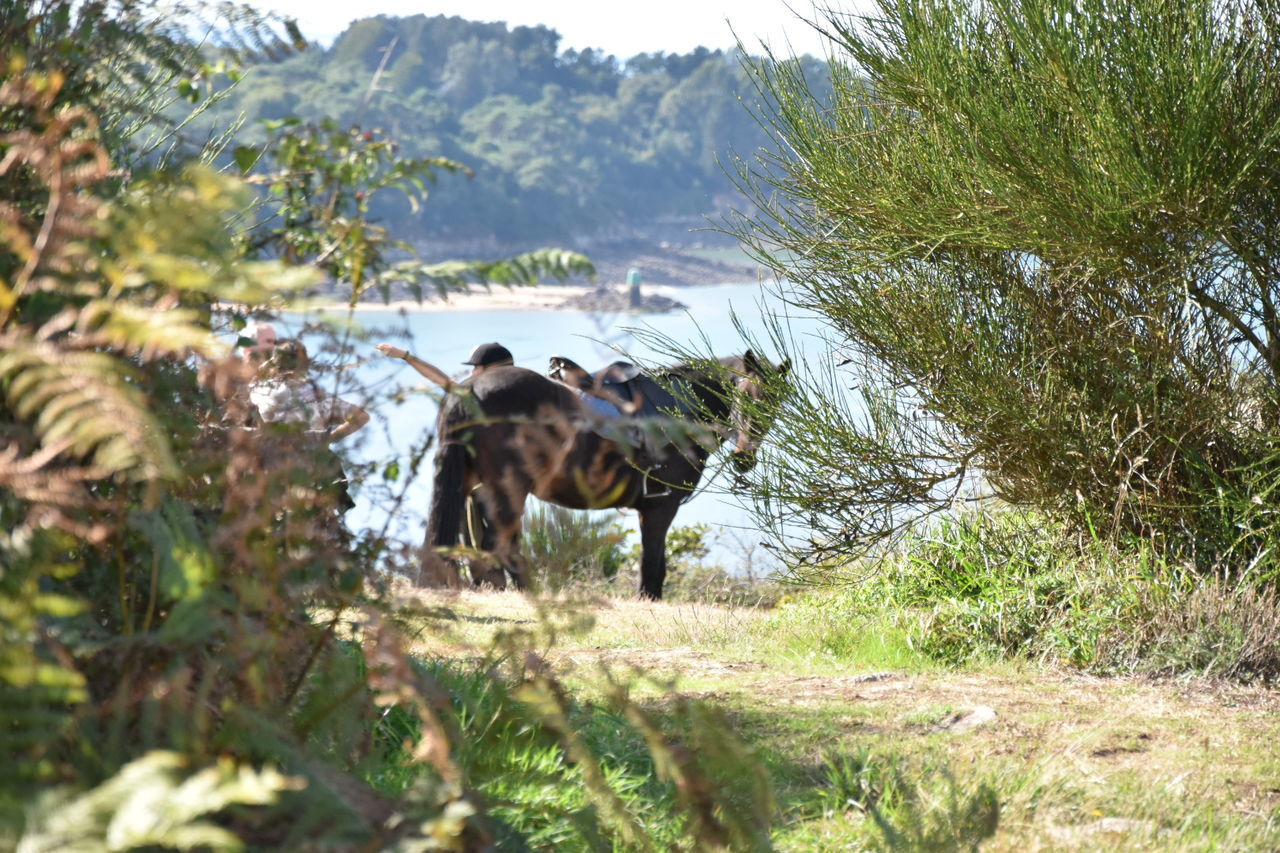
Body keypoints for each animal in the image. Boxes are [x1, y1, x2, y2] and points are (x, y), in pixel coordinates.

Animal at [424, 348, 783, 594]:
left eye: (776, 405)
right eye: (746, 396)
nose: (744, 459)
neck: (679, 410)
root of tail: (469, 390)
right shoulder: (660, 507)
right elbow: (653, 567)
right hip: (507, 490)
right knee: (499, 547)